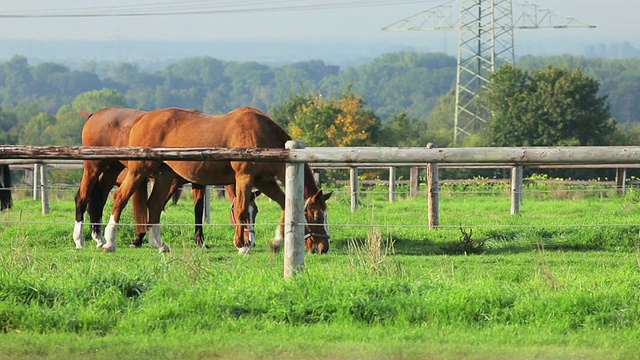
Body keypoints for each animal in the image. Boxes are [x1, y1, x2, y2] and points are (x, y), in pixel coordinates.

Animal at [74, 107, 255, 250]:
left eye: (256, 212)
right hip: (93, 168)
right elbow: (158, 205)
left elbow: (197, 210)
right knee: (82, 198)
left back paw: (99, 238)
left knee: (98, 200)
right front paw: (139, 239)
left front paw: (200, 241)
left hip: (110, 171)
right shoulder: (173, 182)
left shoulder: (197, 183)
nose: (250, 241)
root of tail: (96, 114)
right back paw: (80, 240)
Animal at [102, 106, 332, 253]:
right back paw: (109, 242)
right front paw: (242, 245)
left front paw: (277, 240)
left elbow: (284, 205)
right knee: (120, 197)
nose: (323, 248)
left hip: (165, 175)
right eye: (315, 216)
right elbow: (240, 209)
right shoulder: (244, 177)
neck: (262, 135)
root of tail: (141, 119)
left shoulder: (264, 181)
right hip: (139, 169)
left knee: (155, 204)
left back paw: (159, 244)